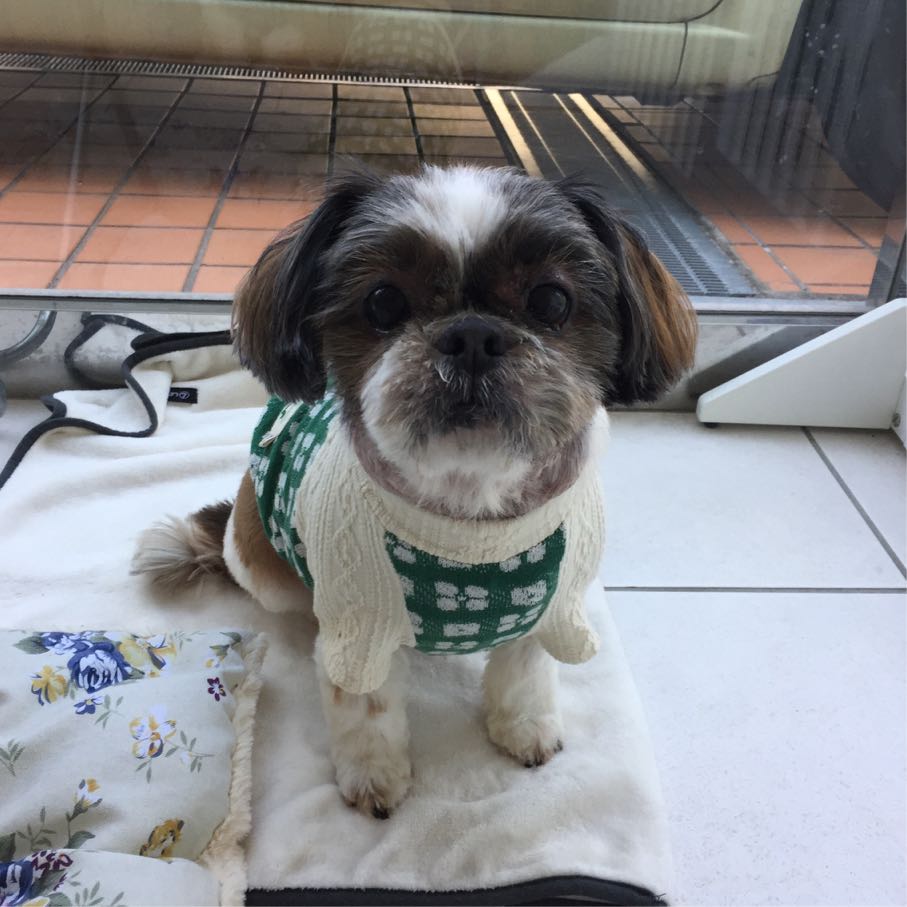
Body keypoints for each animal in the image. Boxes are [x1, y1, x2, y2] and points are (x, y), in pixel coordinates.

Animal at [132, 164, 697, 819]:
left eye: (552, 300)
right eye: (383, 301)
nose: (473, 335)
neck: (469, 518)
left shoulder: (552, 605)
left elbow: (526, 671)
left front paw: (523, 727)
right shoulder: (359, 628)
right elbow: (365, 705)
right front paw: (373, 775)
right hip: (259, 558)